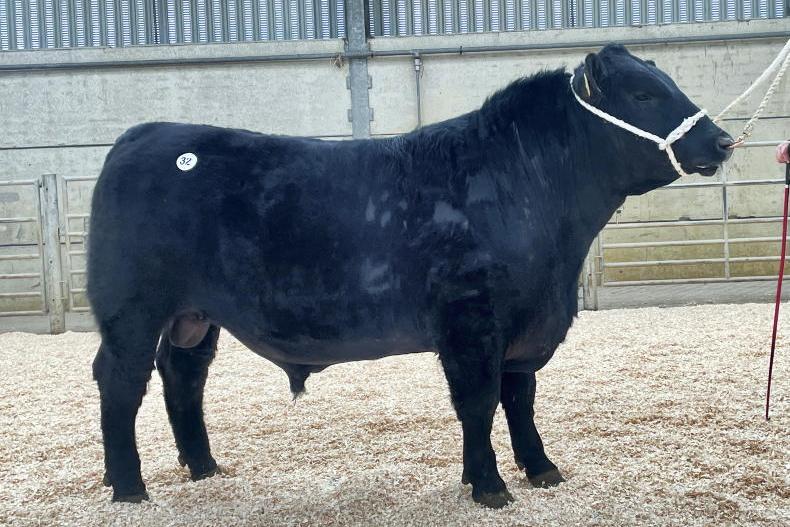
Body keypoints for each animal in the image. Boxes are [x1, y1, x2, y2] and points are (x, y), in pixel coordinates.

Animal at [88, 44, 733, 507]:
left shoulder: (528, 325)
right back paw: (129, 486)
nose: (723, 140)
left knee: (183, 376)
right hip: (130, 308)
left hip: (194, 315)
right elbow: (478, 402)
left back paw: (204, 468)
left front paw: (541, 470)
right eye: (644, 93)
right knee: (122, 381)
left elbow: (519, 399)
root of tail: (144, 134)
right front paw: (489, 486)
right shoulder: (471, 321)